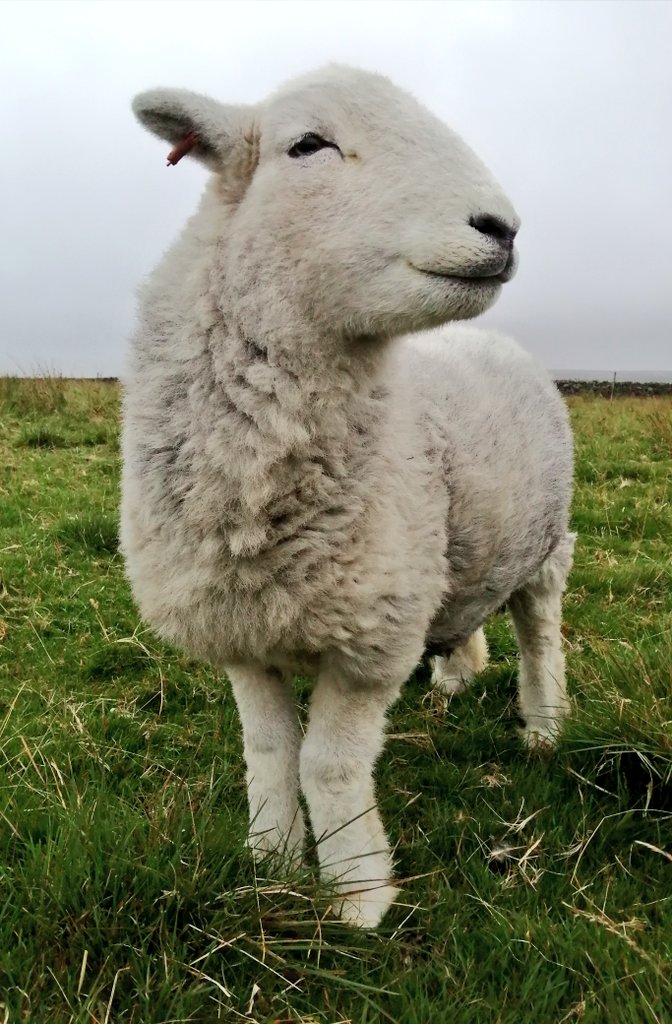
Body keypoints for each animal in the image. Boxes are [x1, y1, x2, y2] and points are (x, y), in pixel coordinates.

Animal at [121, 65, 575, 929]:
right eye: (308, 144)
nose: (501, 228)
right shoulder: (242, 633)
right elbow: (269, 754)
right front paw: (269, 861)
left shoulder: (371, 641)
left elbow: (327, 764)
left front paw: (358, 895)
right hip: (453, 548)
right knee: (468, 613)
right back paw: (457, 675)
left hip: (547, 548)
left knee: (540, 635)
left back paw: (543, 726)